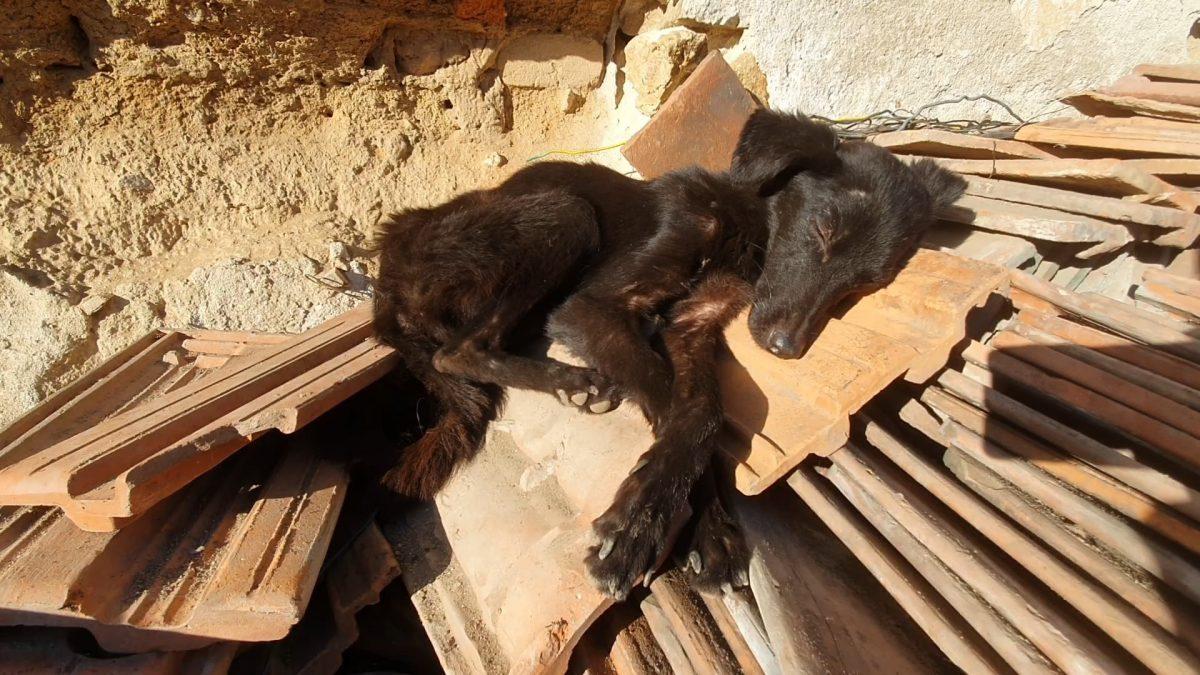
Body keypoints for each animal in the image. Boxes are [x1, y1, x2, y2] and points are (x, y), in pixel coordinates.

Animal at [369, 110, 960, 598]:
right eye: (823, 230)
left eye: (868, 283)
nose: (784, 348)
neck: (742, 224)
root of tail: (387, 274)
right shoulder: (592, 307)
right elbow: (677, 404)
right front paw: (638, 528)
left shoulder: (690, 327)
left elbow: (700, 413)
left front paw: (709, 534)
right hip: (563, 214)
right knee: (456, 352)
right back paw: (571, 381)